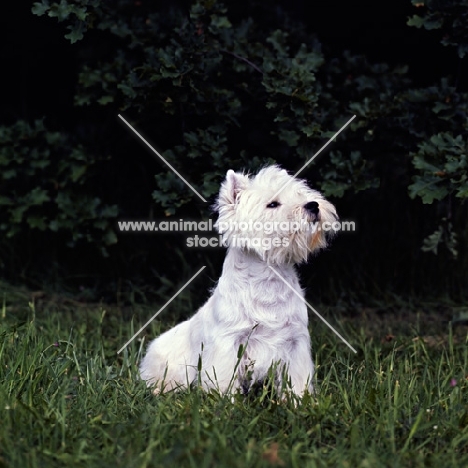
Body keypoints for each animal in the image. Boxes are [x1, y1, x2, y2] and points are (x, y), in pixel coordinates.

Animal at [139, 166, 336, 396]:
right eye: (272, 204)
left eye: (301, 193)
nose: (313, 205)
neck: (268, 280)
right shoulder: (229, 342)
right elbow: (223, 378)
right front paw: (225, 400)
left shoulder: (295, 341)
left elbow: (297, 379)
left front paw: (298, 399)